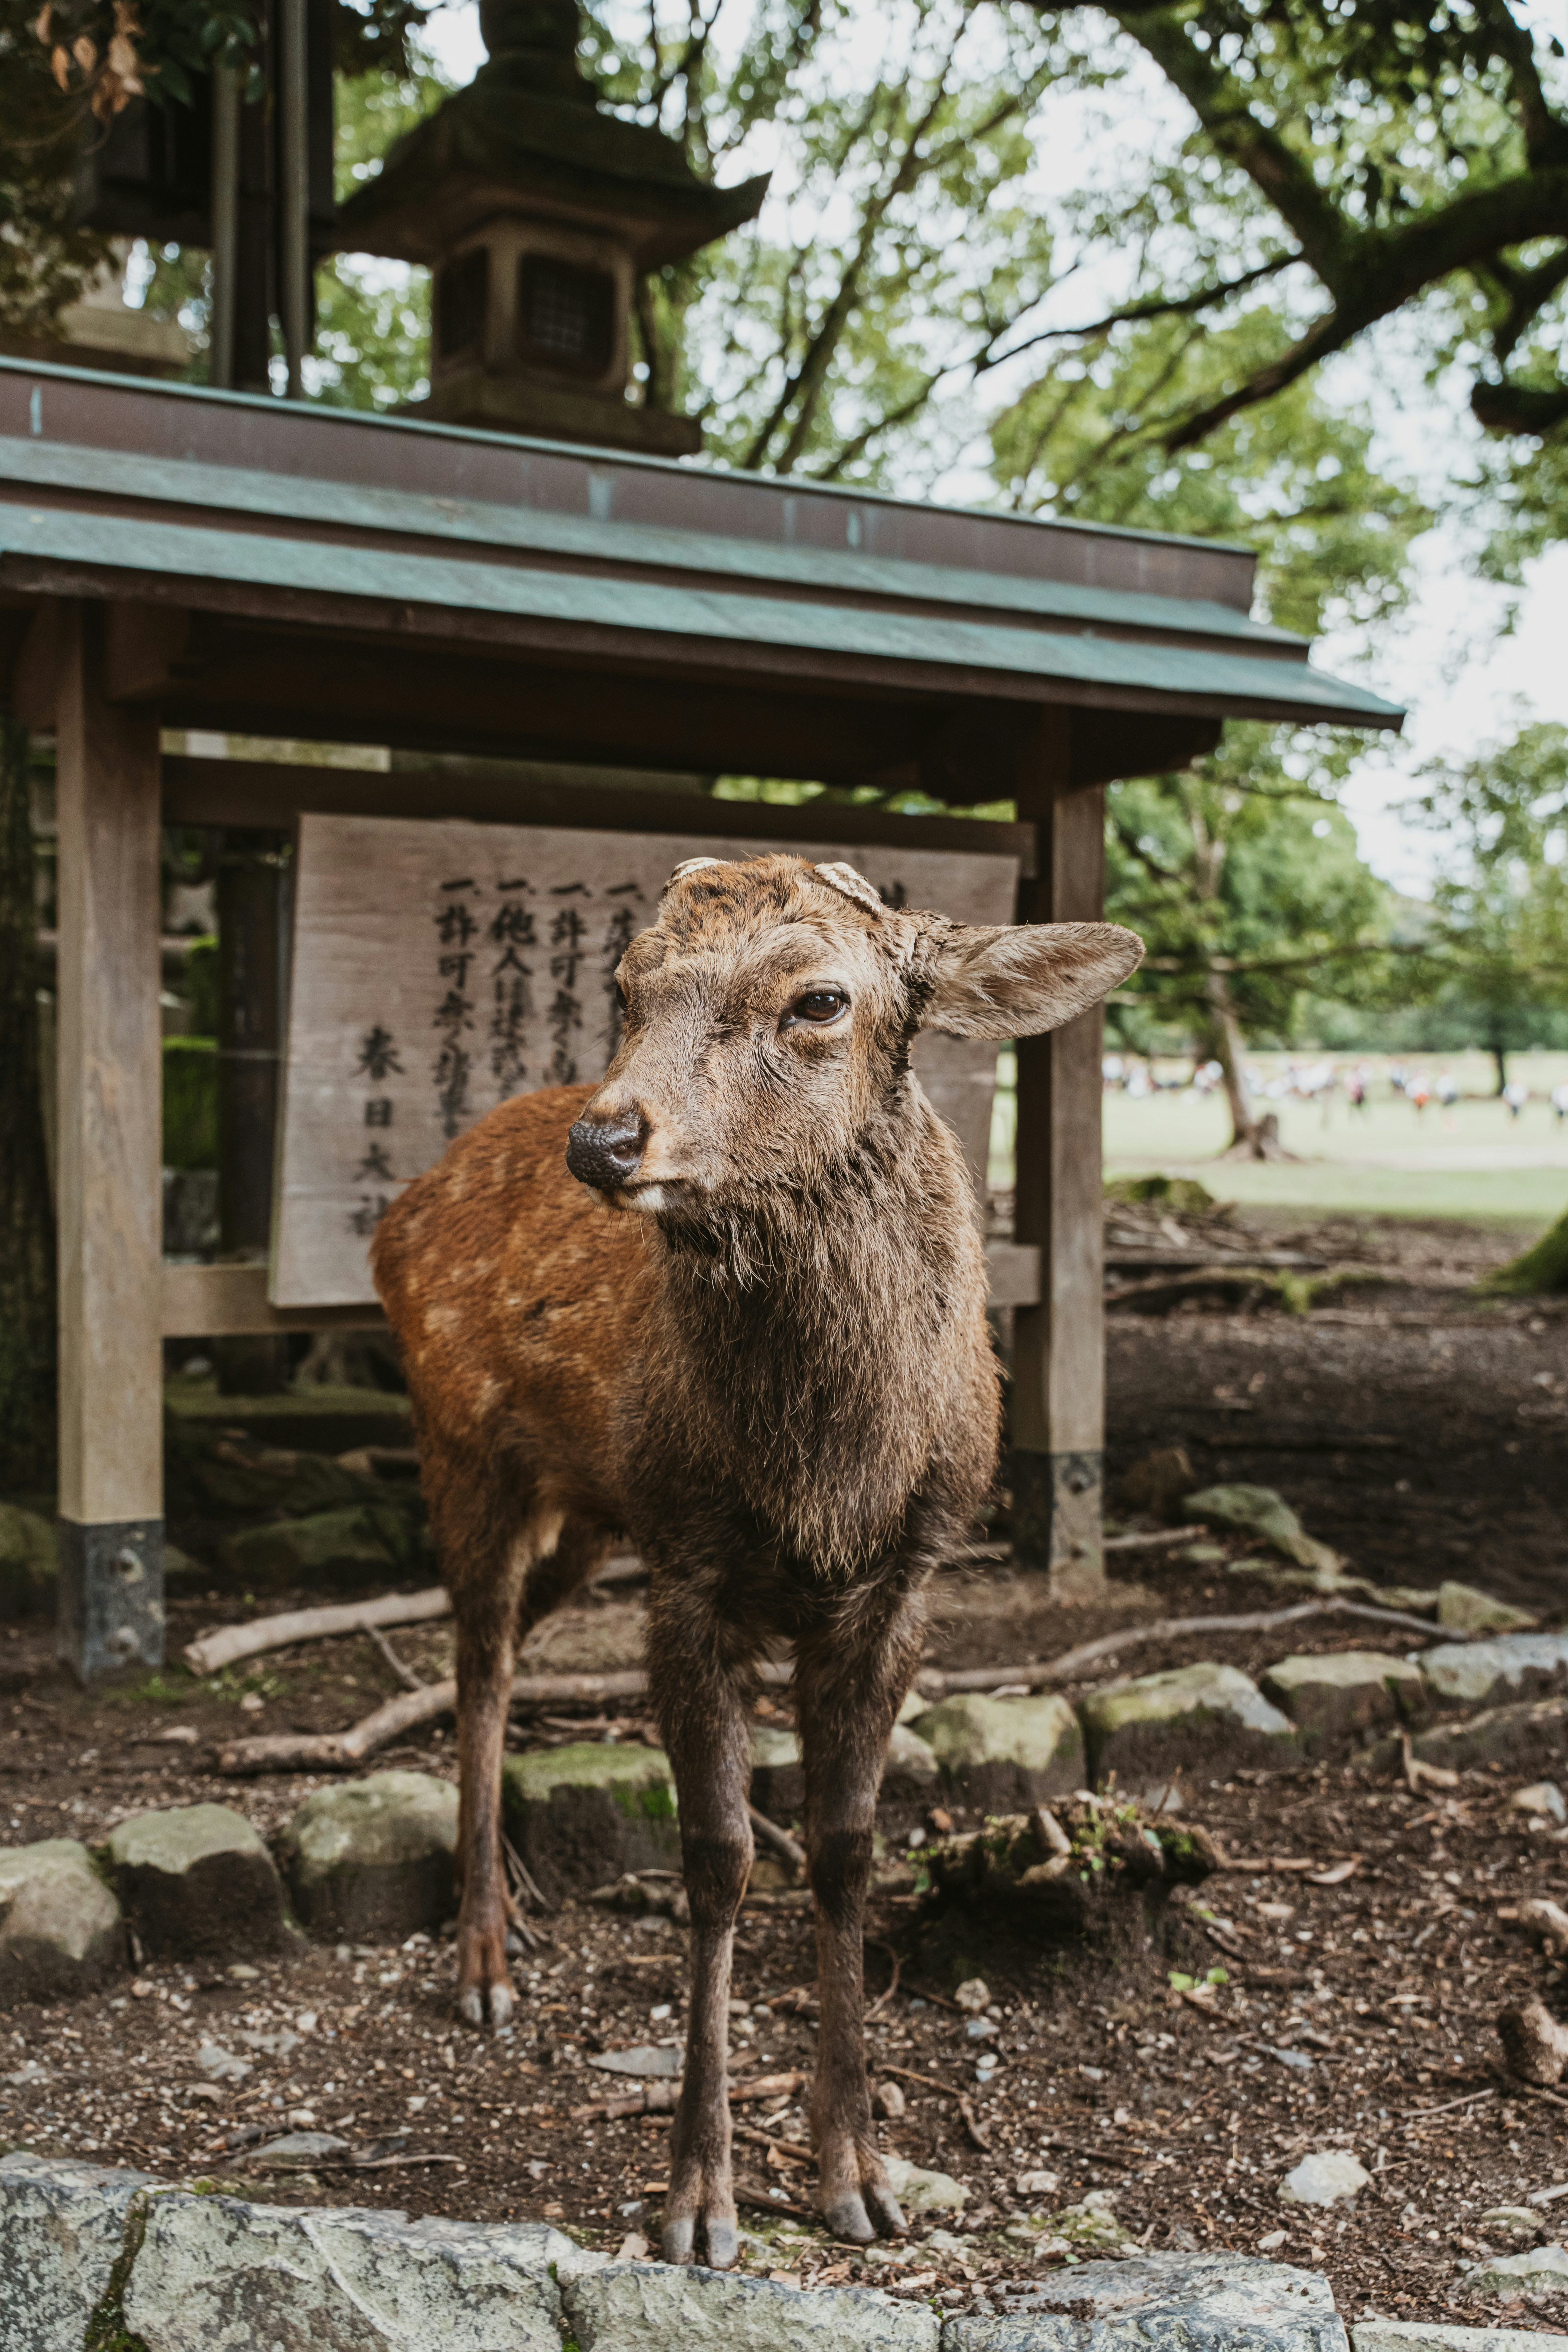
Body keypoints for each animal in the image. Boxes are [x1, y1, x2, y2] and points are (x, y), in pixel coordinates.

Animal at [372, 850, 1141, 2269]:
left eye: (819, 997)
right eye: (627, 984)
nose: (605, 1141)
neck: (825, 1481)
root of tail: (405, 1200)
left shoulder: (908, 1576)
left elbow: (842, 1846)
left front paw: (859, 2173)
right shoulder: (688, 1568)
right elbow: (719, 1858)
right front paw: (699, 2196)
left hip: (585, 1512)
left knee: (501, 1651)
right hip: (462, 1450)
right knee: (480, 1663)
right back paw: (483, 1958)